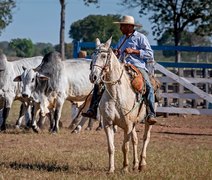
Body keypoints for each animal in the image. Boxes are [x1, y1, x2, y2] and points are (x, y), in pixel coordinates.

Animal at [89, 37, 154, 173]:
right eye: (92, 55)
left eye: (103, 56)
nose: (93, 77)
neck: (116, 94)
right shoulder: (108, 124)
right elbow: (111, 147)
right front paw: (111, 169)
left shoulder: (127, 125)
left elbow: (125, 147)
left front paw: (124, 168)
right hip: (134, 122)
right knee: (135, 140)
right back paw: (135, 164)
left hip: (147, 120)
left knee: (146, 138)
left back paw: (142, 164)